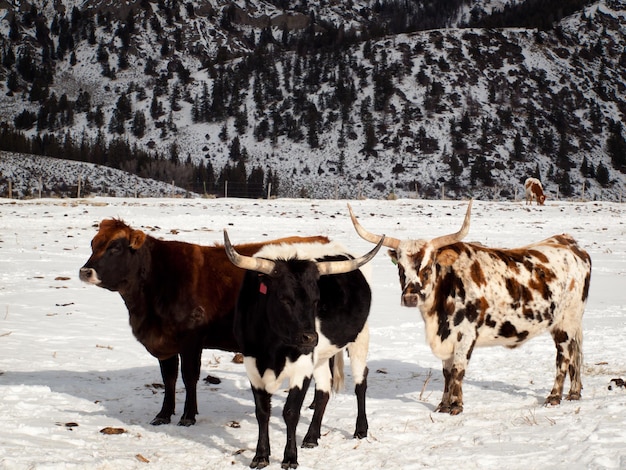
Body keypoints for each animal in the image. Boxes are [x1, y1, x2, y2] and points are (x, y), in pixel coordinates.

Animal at [78, 218, 326, 428]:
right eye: (93, 244)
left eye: (115, 247)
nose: (85, 271)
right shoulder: (165, 343)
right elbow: (169, 378)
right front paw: (164, 414)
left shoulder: (191, 340)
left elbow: (189, 377)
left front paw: (188, 416)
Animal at [222, 229, 382, 468]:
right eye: (284, 299)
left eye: (316, 300)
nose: (310, 337)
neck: (273, 348)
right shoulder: (252, 365)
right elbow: (262, 412)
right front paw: (261, 456)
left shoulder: (302, 367)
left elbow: (291, 412)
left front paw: (290, 458)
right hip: (322, 355)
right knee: (324, 390)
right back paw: (311, 437)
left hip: (359, 338)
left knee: (360, 382)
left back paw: (361, 429)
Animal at [346, 202, 588, 414]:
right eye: (401, 268)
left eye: (428, 267)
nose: (410, 298)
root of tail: (570, 244)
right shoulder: (447, 338)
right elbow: (446, 372)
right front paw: (443, 405)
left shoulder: (466, 334)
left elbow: (458, 370)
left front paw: (456, 406)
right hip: (571, 322)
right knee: (576, 351)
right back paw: (574, 393)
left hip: (565, 322)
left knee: (564, 356)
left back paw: (554, 396)